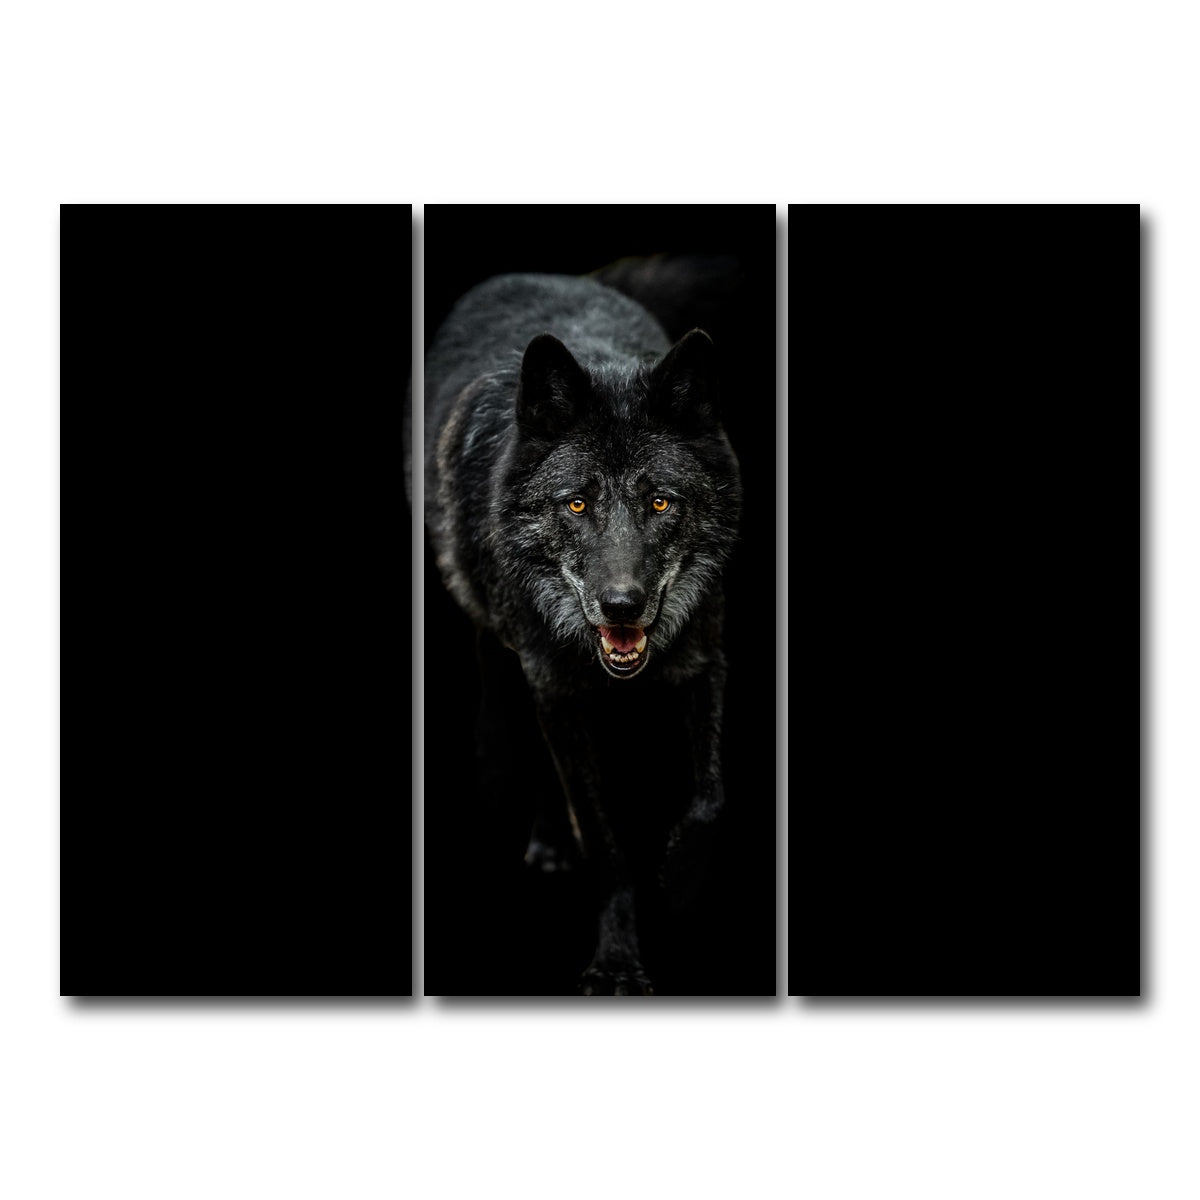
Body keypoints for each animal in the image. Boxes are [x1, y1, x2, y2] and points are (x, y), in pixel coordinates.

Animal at [422, 272, 742, 995]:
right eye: (576, 503)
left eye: (660, 502)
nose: (621, 605)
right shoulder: (555, 689)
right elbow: (600, 835)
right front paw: (618, 957)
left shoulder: (705, 659)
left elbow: (711, 798)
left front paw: (680, 885)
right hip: (501, 640)